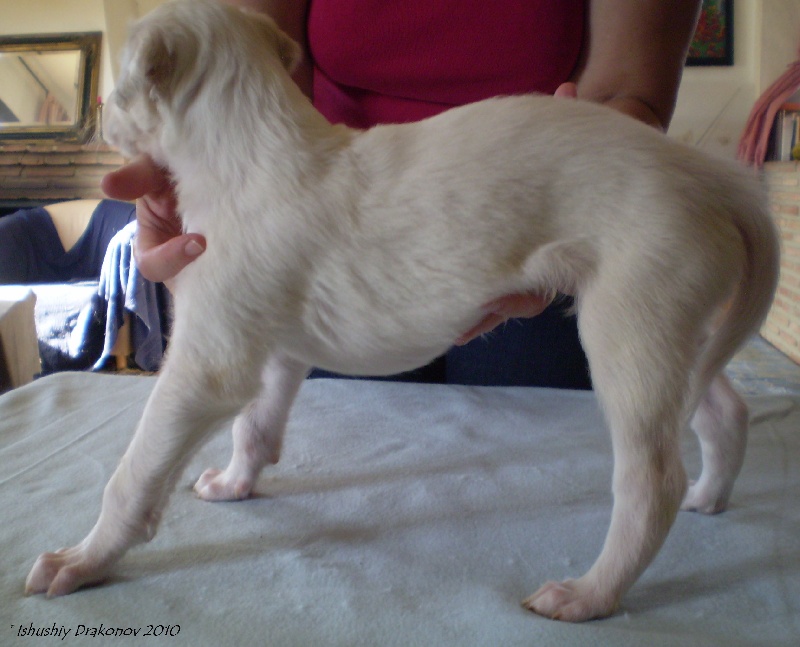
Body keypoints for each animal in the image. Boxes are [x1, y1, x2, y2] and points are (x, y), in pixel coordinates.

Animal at [26, 0, 780, 622]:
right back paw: (709, 495)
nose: (99, 108)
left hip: (626, 328)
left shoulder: (206, 366)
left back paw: (591, 594)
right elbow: (256, 427)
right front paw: (237, 483)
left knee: (650, 482)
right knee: (723, 408)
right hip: (673, 326)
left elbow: (134, 475)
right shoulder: (276, 348)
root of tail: (710, 177)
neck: (251, 153)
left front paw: (80, 561)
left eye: (123, 83)